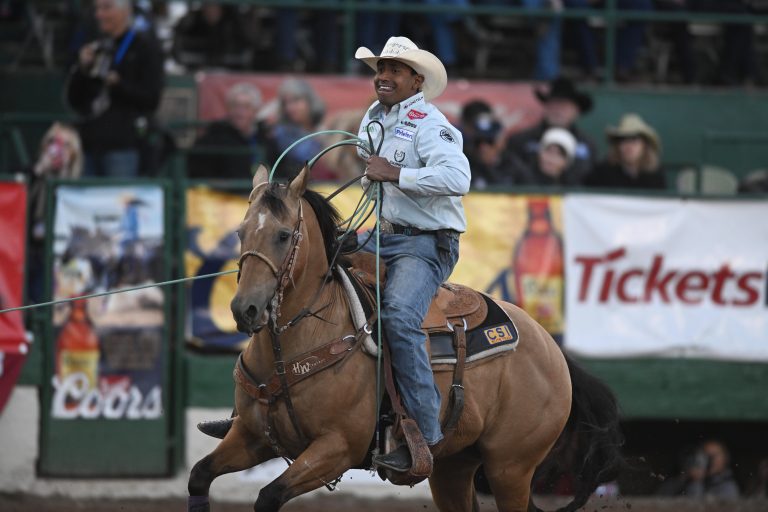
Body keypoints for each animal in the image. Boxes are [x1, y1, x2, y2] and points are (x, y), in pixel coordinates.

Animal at [188, 166, 624, 510]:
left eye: (281, 235)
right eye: (241, 232)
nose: (245, 309)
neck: (305, 335)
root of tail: (552, 349)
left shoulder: (337, 448)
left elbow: (269, 495)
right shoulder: (251, 435)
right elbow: (199, 475)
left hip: (510, 468)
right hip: (452, 465)